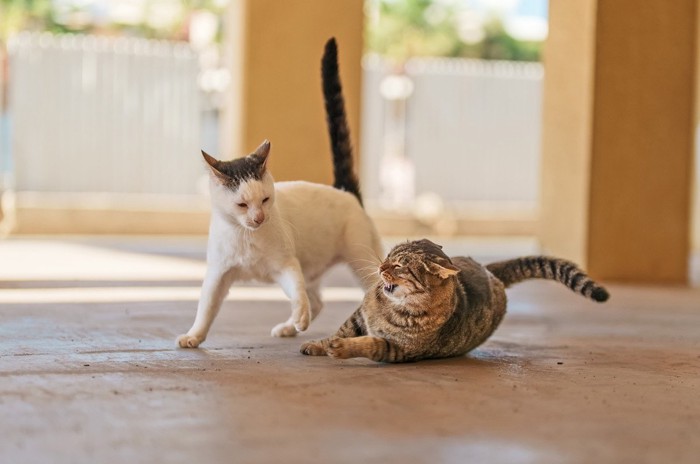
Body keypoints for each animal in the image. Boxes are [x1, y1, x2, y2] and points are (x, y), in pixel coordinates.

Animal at [176, 37, 382, 348]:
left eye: (265, 200)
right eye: (242, 205)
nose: (259, 218)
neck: (246, 236)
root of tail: (345, 192)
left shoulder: (286, 264)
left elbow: (297, 292)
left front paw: (300, 316)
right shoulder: (218, 273)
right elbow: (207, 307)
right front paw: (194, 335)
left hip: (361, 258)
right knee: (317, 300)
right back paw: (288, 327)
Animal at [300, 239, 608, 362]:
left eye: (398, 265)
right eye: (388, 256)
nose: (380, 267)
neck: (391, 307)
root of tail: (489, 271)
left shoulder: (398, 350)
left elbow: (369, 344)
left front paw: (341, 349)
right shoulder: (358, 315)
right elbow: (341, 331)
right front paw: (318, 344)